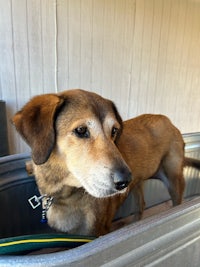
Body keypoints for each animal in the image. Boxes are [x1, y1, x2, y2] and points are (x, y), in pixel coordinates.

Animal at [12, 89, 200, 237]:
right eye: (81, 130)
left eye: (114, 131)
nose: (124, 181)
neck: (65, 193)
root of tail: (170, 122)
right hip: (138, 184)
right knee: (141, 205)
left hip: (174, 180)